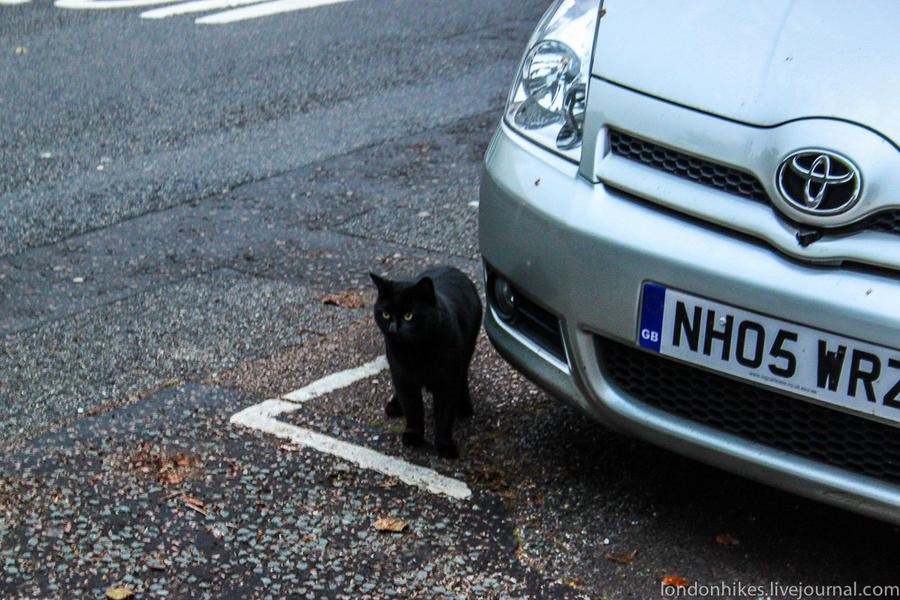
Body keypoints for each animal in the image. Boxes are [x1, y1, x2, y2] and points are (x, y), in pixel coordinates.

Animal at [370, 264, 482, 458]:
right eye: (385, 314)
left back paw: (464, 406)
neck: (416, 352)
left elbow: (444, 414)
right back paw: (394, 405)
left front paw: (445, 445)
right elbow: (412, 408)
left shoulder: (448, 380)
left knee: (464, 377)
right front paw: (413, 435)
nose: (393, 329)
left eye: (408, 315)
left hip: (467, 350)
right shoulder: (403, 376)